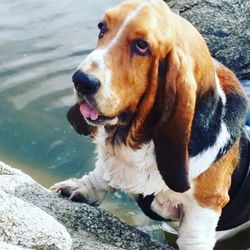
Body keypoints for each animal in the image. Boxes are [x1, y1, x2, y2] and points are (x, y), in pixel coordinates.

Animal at [51, 0, 250, 249]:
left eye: (142, 46)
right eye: (101, 28)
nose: (81, 81)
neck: (136, 141)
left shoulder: (202, 211)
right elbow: (102, 174)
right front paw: (82, 187)